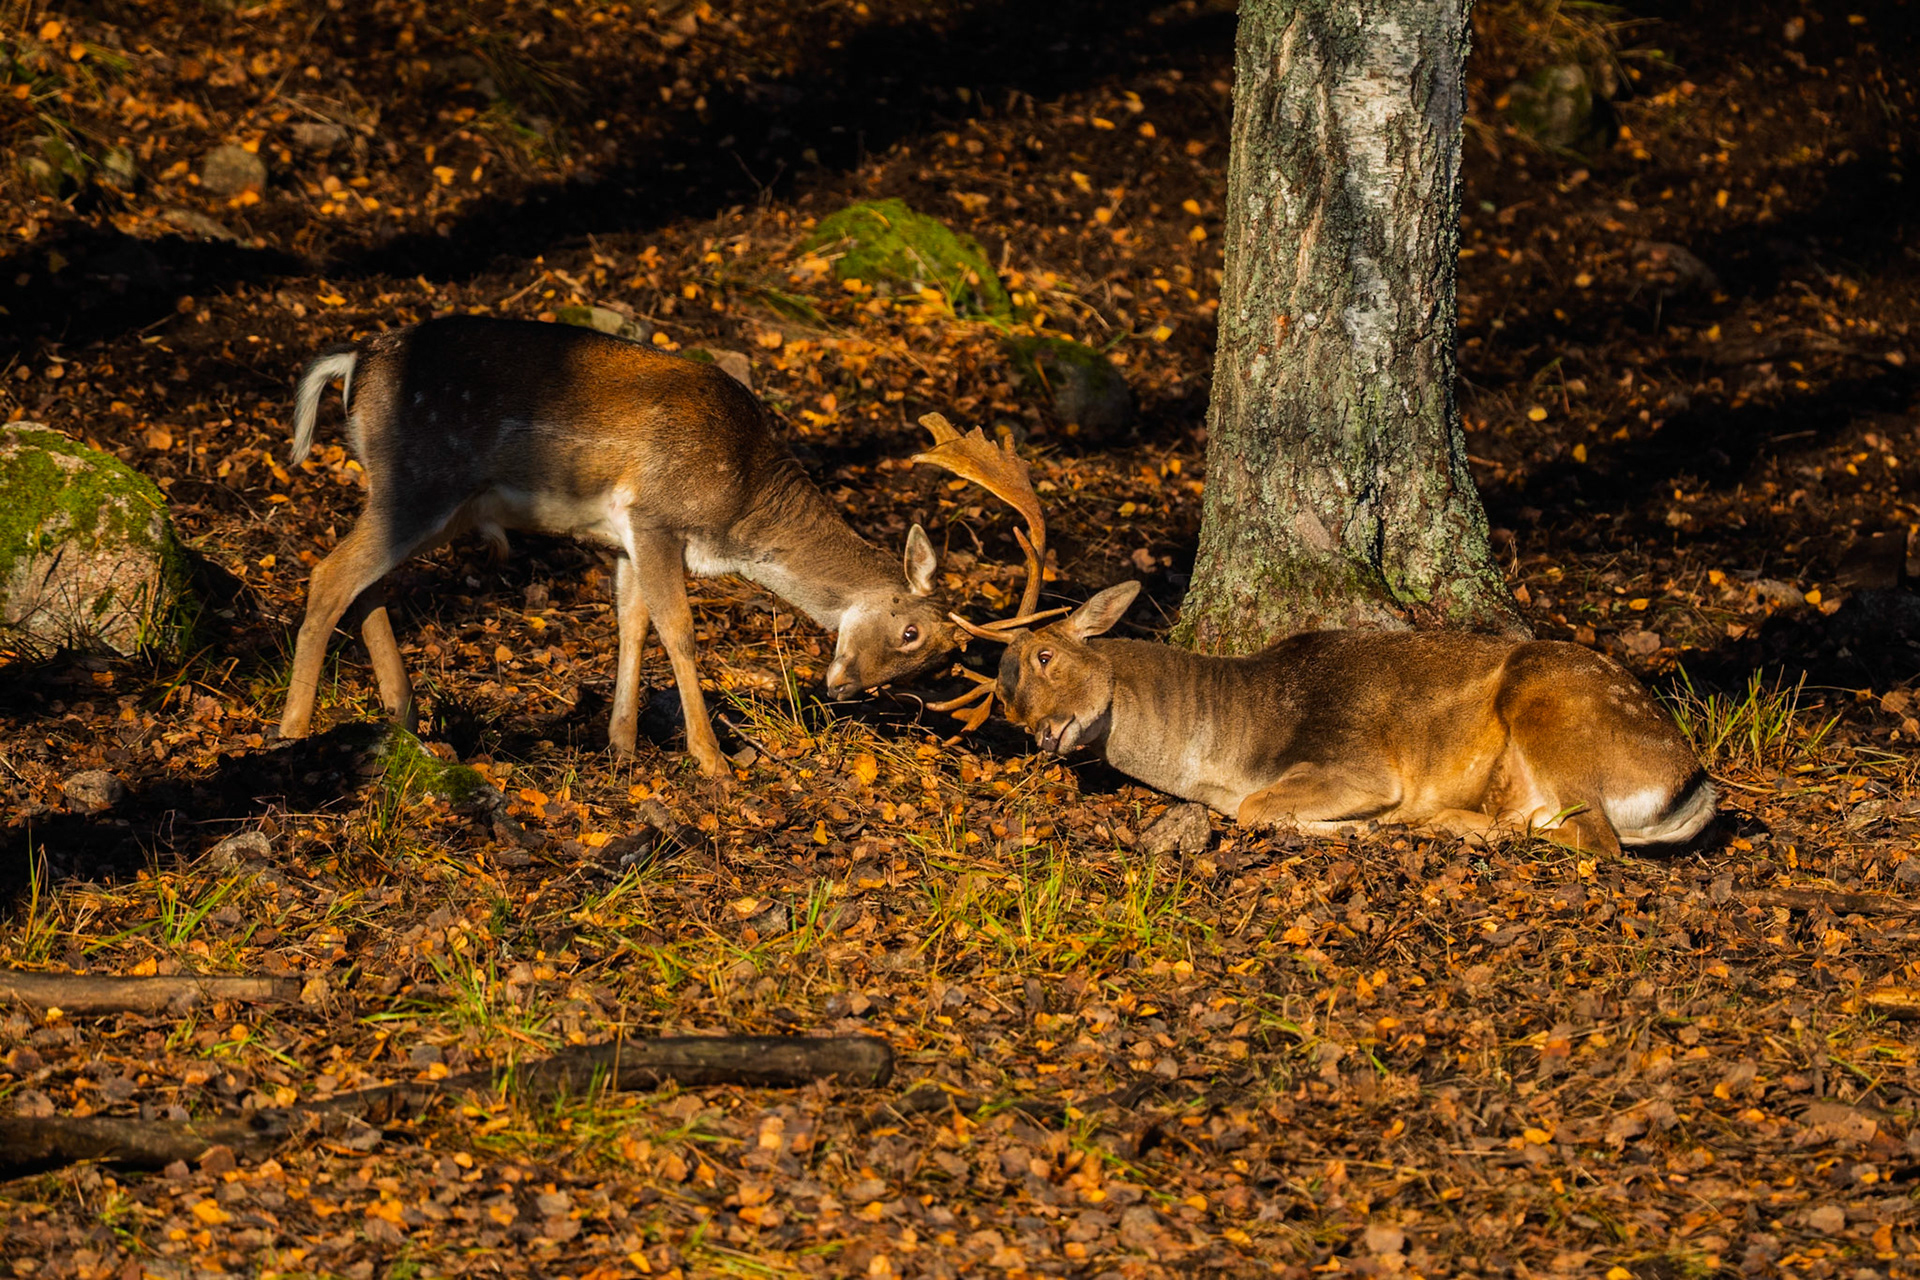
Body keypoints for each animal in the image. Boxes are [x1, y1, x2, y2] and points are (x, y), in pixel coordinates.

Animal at [277, 318, 1028, 777]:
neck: (743, 507)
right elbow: (680, 629)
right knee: (328, 575)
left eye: (935, 666)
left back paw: (404, 720)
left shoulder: (623, 538)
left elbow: (631, 624)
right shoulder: (658, 515)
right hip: (421, 478)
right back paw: (292, 731)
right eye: (910, 632)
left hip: (432, 503)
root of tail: (355, 362)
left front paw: (622, 746)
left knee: (365, 585)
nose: (843, 690)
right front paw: (711, 759)